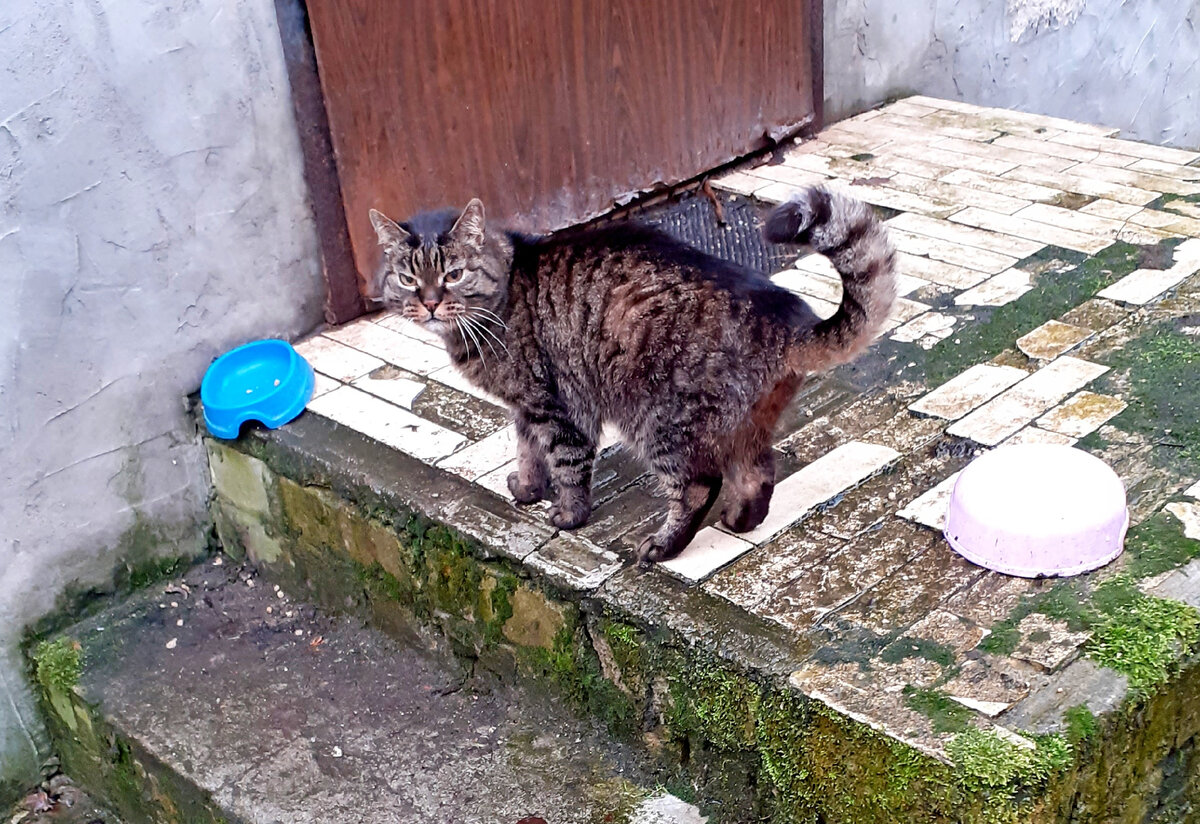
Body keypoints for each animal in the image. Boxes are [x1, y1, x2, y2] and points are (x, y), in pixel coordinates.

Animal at [369, 188, 897, 566]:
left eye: (453, 274)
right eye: (408, 279)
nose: (429, 303)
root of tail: (785, 318)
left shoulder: (556, 404)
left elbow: (566, 463)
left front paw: (569, 514)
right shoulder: (527, 405)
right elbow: (527, 450)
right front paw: (527, 487)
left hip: (657, 420)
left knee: (699, 485)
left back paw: (663, 547)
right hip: (738, 427)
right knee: (759, 470)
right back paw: (741, 519)